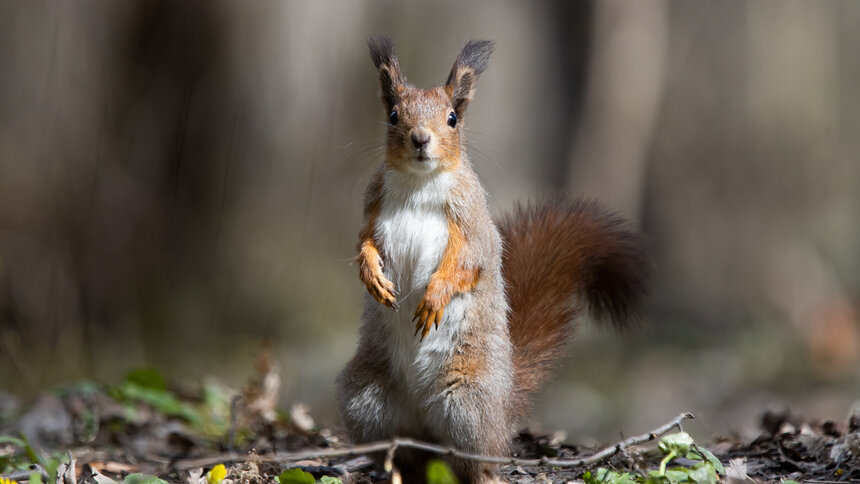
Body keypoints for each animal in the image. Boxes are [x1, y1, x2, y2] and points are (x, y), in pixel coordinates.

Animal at [336, 36, 652, 482]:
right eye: (394, 114)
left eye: (452, 118)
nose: (420, 139)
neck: (419, 183)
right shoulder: (372, 206)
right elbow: (363, 242)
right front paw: (372, 277)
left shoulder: (472, 224)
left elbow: (468, 263)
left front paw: (434, 296)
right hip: (366, 399)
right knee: (402, 455)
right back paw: (397, 471)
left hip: (467, 402)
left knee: (478, 457)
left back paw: (485, 470)